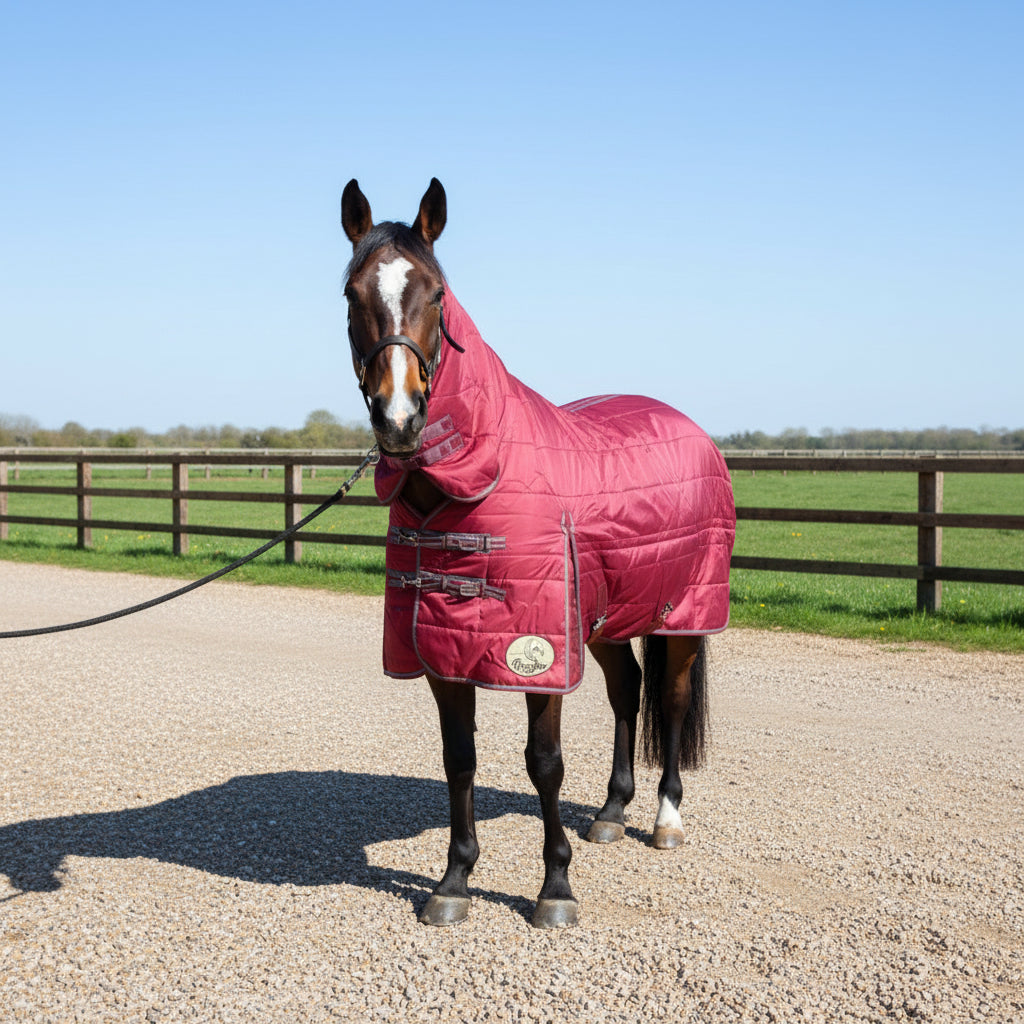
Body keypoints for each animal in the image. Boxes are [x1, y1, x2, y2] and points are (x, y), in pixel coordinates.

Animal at [340, 178, 735, 929]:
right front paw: (453, 882)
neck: (477, 473)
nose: (400, 418)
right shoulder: (446, 652)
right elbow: (459, 759)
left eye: (437, 293)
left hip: (683, 616)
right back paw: (611, 812)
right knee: (626, 690)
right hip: (606, 618)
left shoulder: (538, 652)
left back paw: (665, 819)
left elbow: (544, 761)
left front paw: (555, 889)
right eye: (351, 293)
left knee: (668, 702)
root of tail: (691, 429)